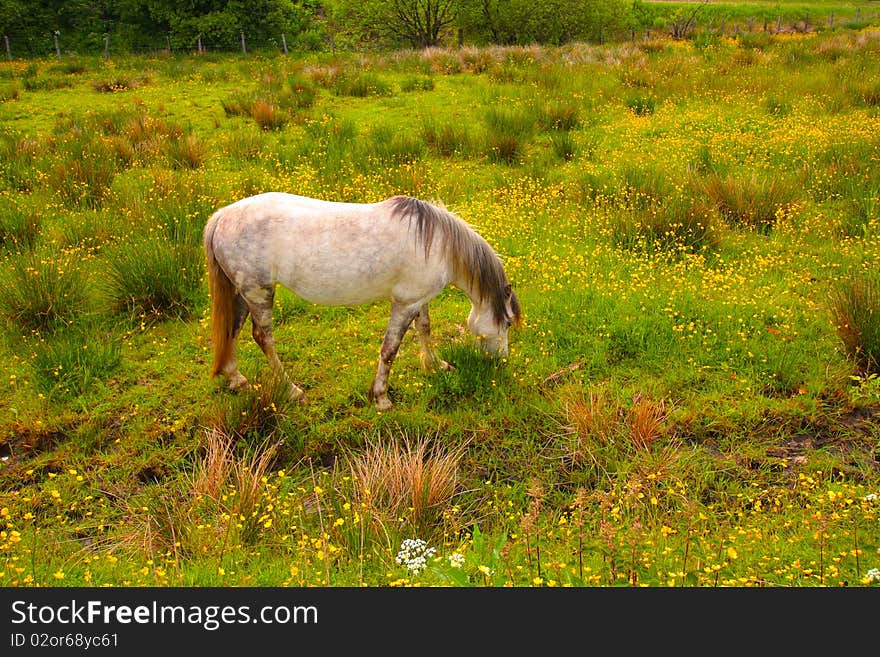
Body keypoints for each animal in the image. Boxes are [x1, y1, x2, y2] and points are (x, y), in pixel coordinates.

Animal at [205, 190, 524, 408]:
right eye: (507, 323)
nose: (501, 360)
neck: (436, 242)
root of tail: (221, 217)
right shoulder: (404, 304)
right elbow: (390, 349)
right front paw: (381, 397)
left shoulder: (419, 300)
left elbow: (425, 329)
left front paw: (435, 365)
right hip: (259, 292)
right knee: (264, 338)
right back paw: (293, 390)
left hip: (244, 293)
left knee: (232, 329)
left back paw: (236, 379)